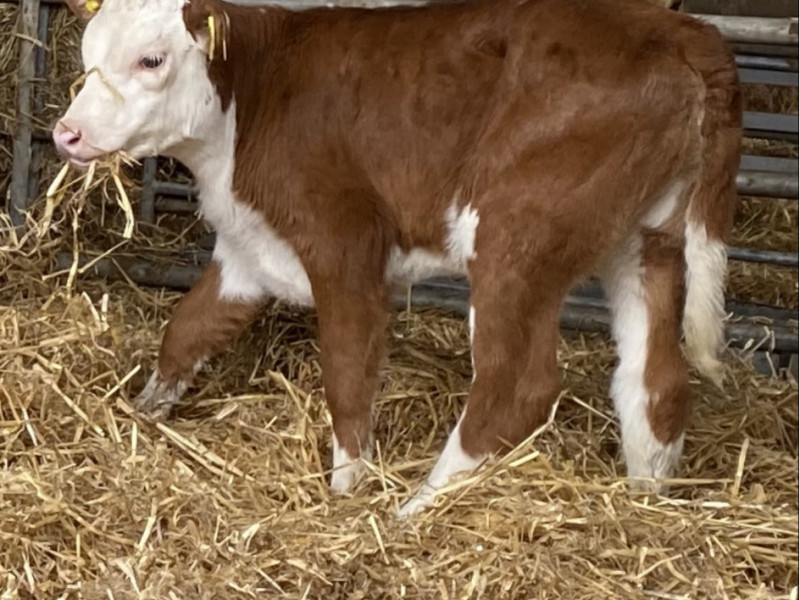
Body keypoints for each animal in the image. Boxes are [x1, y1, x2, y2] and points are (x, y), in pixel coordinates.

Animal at [56, 0, 740, 516]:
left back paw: (420, 505)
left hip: (518, 236)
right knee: (654, 379)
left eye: (152, 59)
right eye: (87, 59)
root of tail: (677, 28)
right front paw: (141, 412)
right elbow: (184, 332)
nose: (66, 133)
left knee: (518, 386)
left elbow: (347, 371)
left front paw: (345, 491)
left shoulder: (345, 244)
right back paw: (644, 497)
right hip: (646, 241)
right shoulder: (249, 253)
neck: (252, 97)